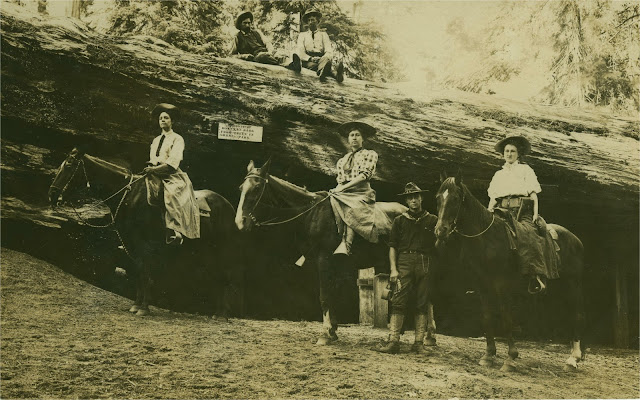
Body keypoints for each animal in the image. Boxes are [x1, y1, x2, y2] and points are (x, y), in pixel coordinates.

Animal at [48, 148, 242, 318]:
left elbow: (145, 273)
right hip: (205, 251)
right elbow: (138, 274)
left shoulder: (144, 245)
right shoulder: (132, 244)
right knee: (217, 277)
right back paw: (217, 313)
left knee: (226, 276)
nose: (52, 194)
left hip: (223, 249)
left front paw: (143, 308)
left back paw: (223, 315)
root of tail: (229, 205)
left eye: (69, 166)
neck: (129, 195)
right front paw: (136, 305)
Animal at [235, 159, 420, 344]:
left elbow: (324, 295)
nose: (240, 222)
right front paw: (333, 331)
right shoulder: (332, 264)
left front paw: (325, 334)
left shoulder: (324, 259)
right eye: (241, 188)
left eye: (257, 188)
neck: (311, 213)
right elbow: (332, 294)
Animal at [436, 173, 584, 370]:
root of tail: (576, 239)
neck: (487, 239)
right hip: (557, 289)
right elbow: (487, 317)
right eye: (438, 198)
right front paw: (488, 355)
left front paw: (510, 358)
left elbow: (506, 318)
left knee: (576, 315)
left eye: (454, 199)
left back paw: (573, 359)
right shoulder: (482, 286)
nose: (440, 230)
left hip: (572, 286)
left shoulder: (501, 286)